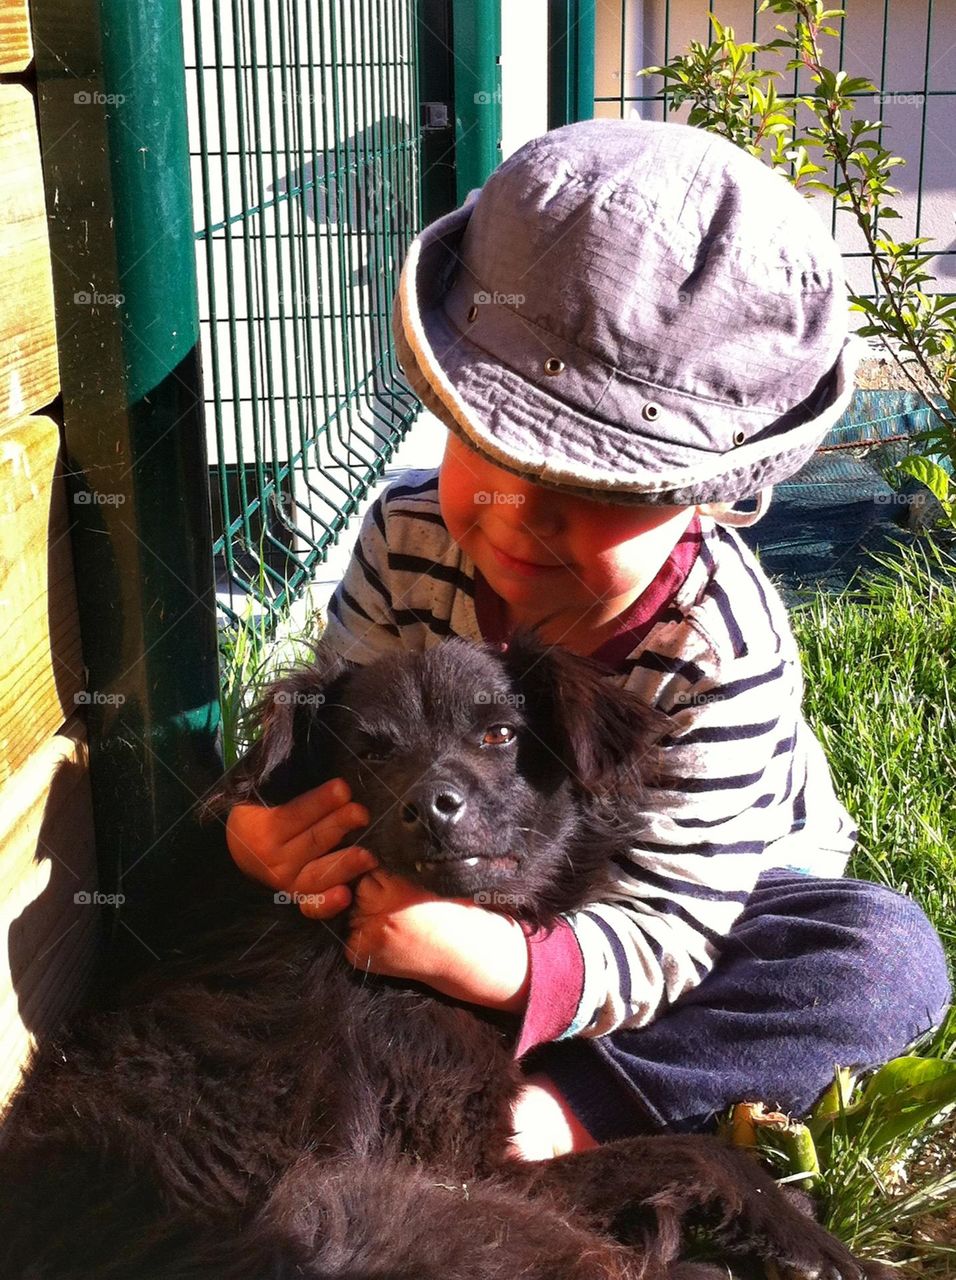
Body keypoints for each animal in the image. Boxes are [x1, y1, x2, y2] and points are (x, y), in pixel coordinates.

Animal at [0, 634, 880, 1274]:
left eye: (499, 734)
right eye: (371, 752)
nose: (430, 807)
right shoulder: (474, 1171)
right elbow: (692, 1149)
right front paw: (811, 1241)